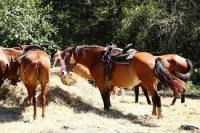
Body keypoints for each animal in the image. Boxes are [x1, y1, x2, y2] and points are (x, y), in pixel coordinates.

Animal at [59, 45, 192, 118]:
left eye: (67, 58)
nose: (62, 72)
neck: (98, 59)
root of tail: (156, 58)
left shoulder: (101, 83)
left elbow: (104, 96)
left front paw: (106, 109)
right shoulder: (109, 84)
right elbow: (108, 96)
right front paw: (110, 108)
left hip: (149, 84)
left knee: (157, 98)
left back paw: (159, 116)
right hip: (151, 84)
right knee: (154, 98)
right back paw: (154, 113)